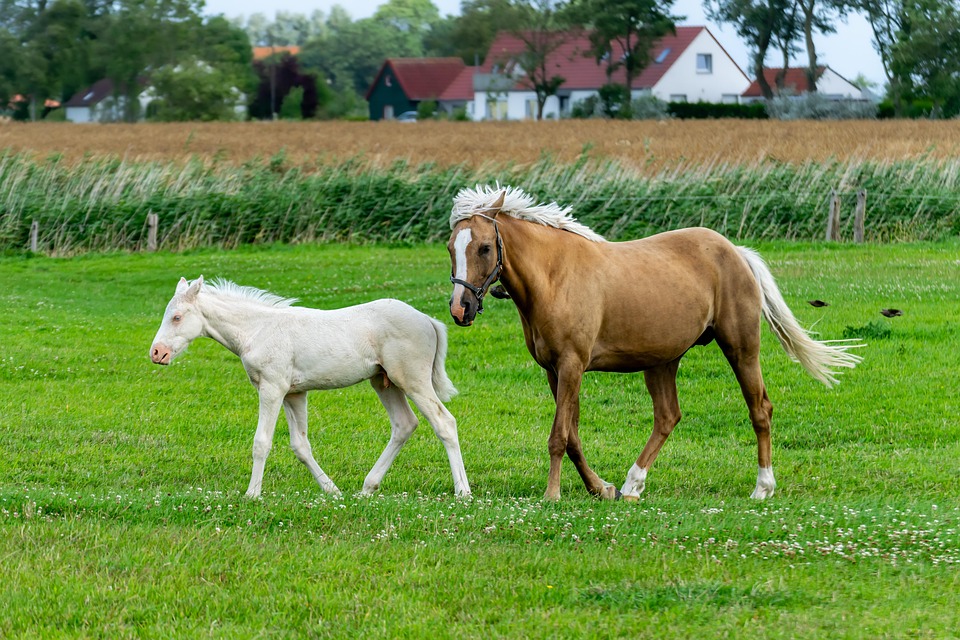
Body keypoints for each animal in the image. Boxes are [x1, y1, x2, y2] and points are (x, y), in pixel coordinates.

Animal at [149, 276, 471, 499]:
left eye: (177, 317)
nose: (157, 353)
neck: (258, 329)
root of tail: (428, 320)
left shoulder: (272, 388)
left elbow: (261, 442)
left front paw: (252, 494)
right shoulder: (294, 393)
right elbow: (300, 446)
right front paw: (332, 490)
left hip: (412, 379)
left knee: (444, 422)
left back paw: (463, 491)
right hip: (384, 382)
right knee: (405, 425)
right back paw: (368, 487)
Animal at [447, 184, 862, 501]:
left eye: (484, 247)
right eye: (452, 247)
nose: (460, 308)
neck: (554, 276)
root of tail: (735, 252)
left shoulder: (571, 366)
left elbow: (559, 436)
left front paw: (553, 495)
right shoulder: (554, 370)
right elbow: (574, 437)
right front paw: (602, 488)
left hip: (741, 350)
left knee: (760, 409)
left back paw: (763, 487)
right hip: (662, 361)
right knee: (668, 416)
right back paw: (633, 484)